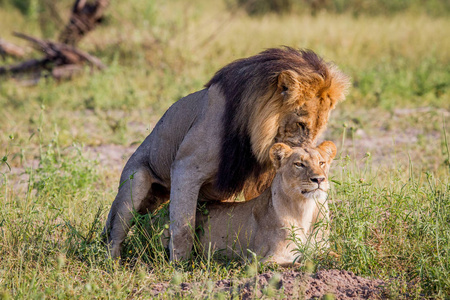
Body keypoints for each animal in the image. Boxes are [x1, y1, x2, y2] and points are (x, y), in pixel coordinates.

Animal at [163, 142, 338, 266]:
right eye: (299, 164)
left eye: (321, 163)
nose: (319, 179)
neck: (304, 208)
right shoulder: (265, 259)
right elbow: (304, 265)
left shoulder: (323, 249)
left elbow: (337, 255)